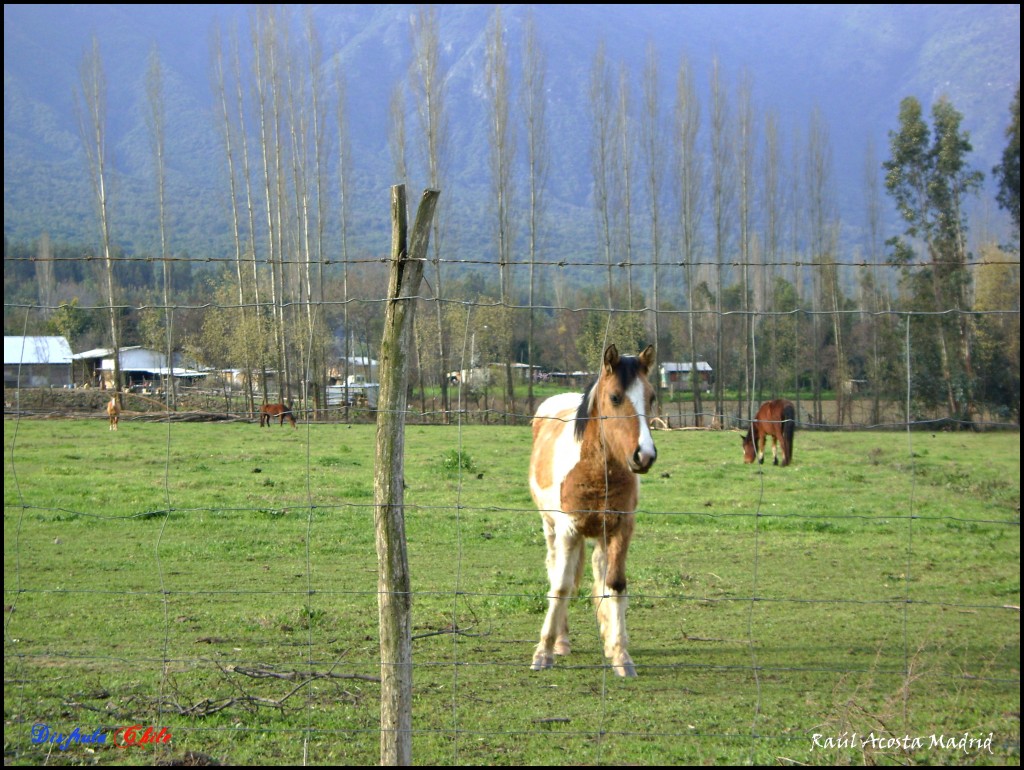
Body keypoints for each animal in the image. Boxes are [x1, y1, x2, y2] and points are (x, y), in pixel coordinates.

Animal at [528, 346, 655, 675]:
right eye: (615, 397)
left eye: (651, 397)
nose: (644, 455)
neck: (598, 470)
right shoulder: (568, 529)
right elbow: (561, 586)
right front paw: (544, 652)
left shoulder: (622, 528)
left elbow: (615, 584)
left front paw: (621, 654)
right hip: (551, 528)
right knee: (557, 571)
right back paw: (561, 641)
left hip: (600, 534)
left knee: (599, 574)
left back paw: (607, 639)